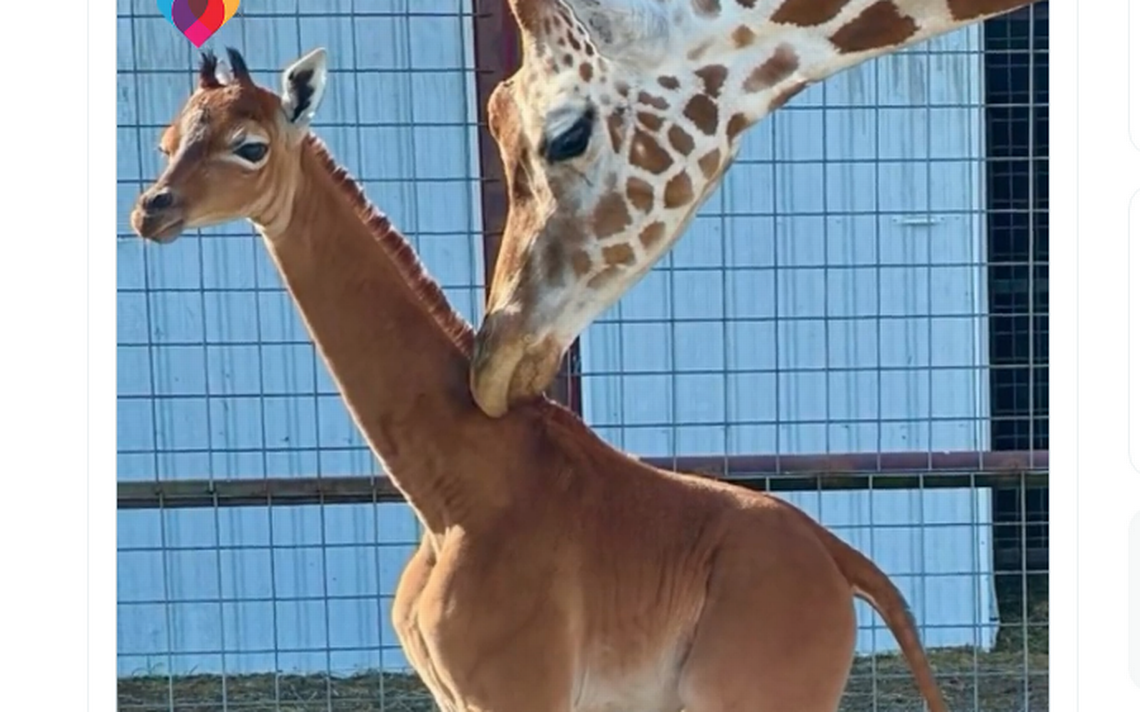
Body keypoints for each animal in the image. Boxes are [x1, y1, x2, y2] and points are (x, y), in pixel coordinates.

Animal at [130, 46, 951, 712]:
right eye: (167, 141)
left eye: (250, 145)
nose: (151, 209)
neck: (453, 491)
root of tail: (841, 561)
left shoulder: (517, 690)